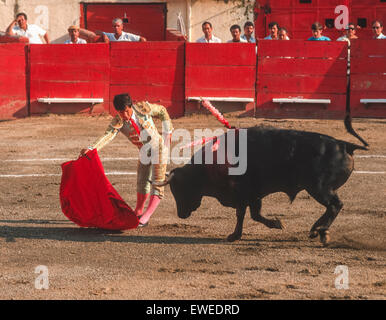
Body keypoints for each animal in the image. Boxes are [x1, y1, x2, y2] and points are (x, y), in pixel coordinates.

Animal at [158, 127, 368, 245]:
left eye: (180, 189)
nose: (181, 214)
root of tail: (343, 144)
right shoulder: (249, 196)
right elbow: (249, 214)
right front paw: (239, 234)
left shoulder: (246, 193)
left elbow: (248, 214)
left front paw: (272, 225)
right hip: (319, 189)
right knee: (332, 207)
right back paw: (316, 230)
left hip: (319, 188)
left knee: (335, 205)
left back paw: (321, 231)